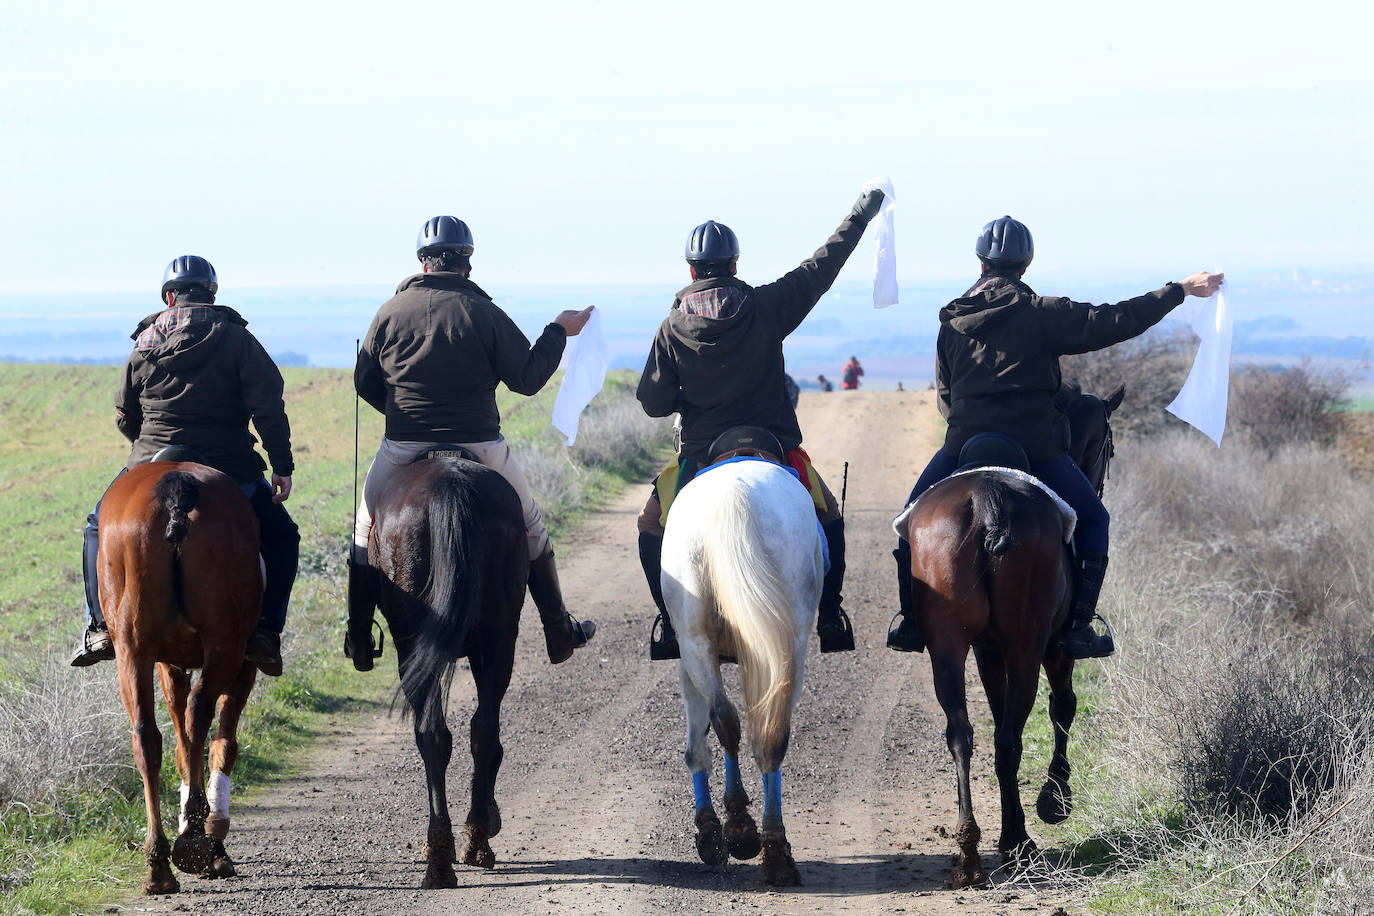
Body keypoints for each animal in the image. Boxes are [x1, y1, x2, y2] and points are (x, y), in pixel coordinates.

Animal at [98, 461, 261, 889]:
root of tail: (175, 484)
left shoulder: (165, 661)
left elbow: (180, 740)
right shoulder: (244, 664)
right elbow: (220, 741)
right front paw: (214, 844)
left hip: (132, 650)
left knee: (147, 738)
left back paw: (159, 863)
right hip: (227, 646)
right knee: (199, 713)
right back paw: (196, 836)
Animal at [368, 455, 527, 889]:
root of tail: (449, 488)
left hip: (418, 648)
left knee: (438, 734)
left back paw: (445, 854)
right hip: (497, 641)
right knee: (479, 731)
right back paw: (469, 844)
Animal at [906, 384, 1121, 889]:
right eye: (1108, 444)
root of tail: (987, 497)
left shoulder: (987, 650)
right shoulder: (1054, 648)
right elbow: (1063, 706)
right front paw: (1055, 800)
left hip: (947, 647)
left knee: (962, 733)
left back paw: (969, 851)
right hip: (1027, 644)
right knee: (1010, 738)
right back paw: (1016, 843)